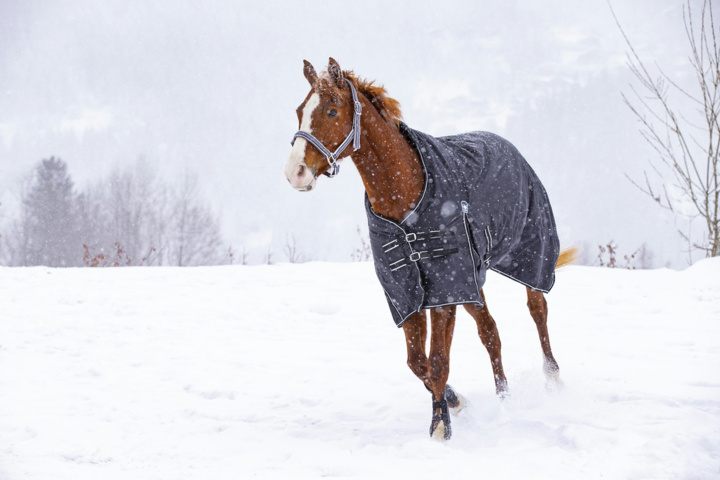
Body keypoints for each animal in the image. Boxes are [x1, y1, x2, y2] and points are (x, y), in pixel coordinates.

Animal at [284, 58, 575, 441]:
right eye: (300, 111)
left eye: (331, 111)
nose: (295, 173)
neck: (405, 193)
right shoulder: (407, 289)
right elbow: (417, 362)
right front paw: (455, 401)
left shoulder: (444, 287)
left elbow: (437, 360)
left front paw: (439, 426)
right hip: (473, 282)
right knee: (491, 333)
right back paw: (504, 398)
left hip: (528, 254)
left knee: (538, 309)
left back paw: (552, 379)